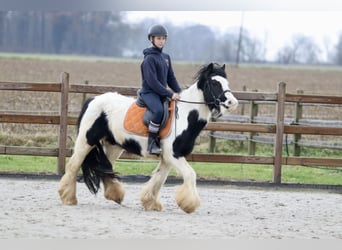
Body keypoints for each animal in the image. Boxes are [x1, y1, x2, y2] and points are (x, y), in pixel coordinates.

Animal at [58, 62, 238, 213]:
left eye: (227, 83)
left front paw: (150, 203)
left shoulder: (167, 158)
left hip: (113, 146)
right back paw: (68, 198)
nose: (232, 103)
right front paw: (189, 205)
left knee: (105, 168)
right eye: (214, 83)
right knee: (73, 165)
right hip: (86, 141)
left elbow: (158, 178)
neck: (185, 116)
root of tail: (93, 99)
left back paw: (115, 195)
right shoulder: (174, 155)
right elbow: (190, 175)